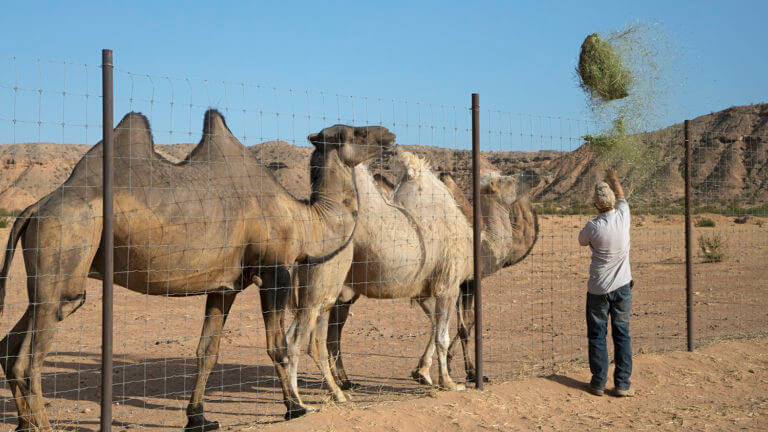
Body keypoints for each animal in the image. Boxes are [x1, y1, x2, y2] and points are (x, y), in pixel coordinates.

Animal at [0, 109, 396, 430]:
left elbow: (208, 351)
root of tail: (35, 207)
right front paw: (296, 408)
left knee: (13, 344)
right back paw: (43, 425)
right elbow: (278, 346)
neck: (304, 220)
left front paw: (199, 418)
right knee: (33, 357)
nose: (390, 135)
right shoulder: (275, 271)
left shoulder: (225, 286)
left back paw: (24, 424)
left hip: (48, 283)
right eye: (356, 132)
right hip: (67, 249)